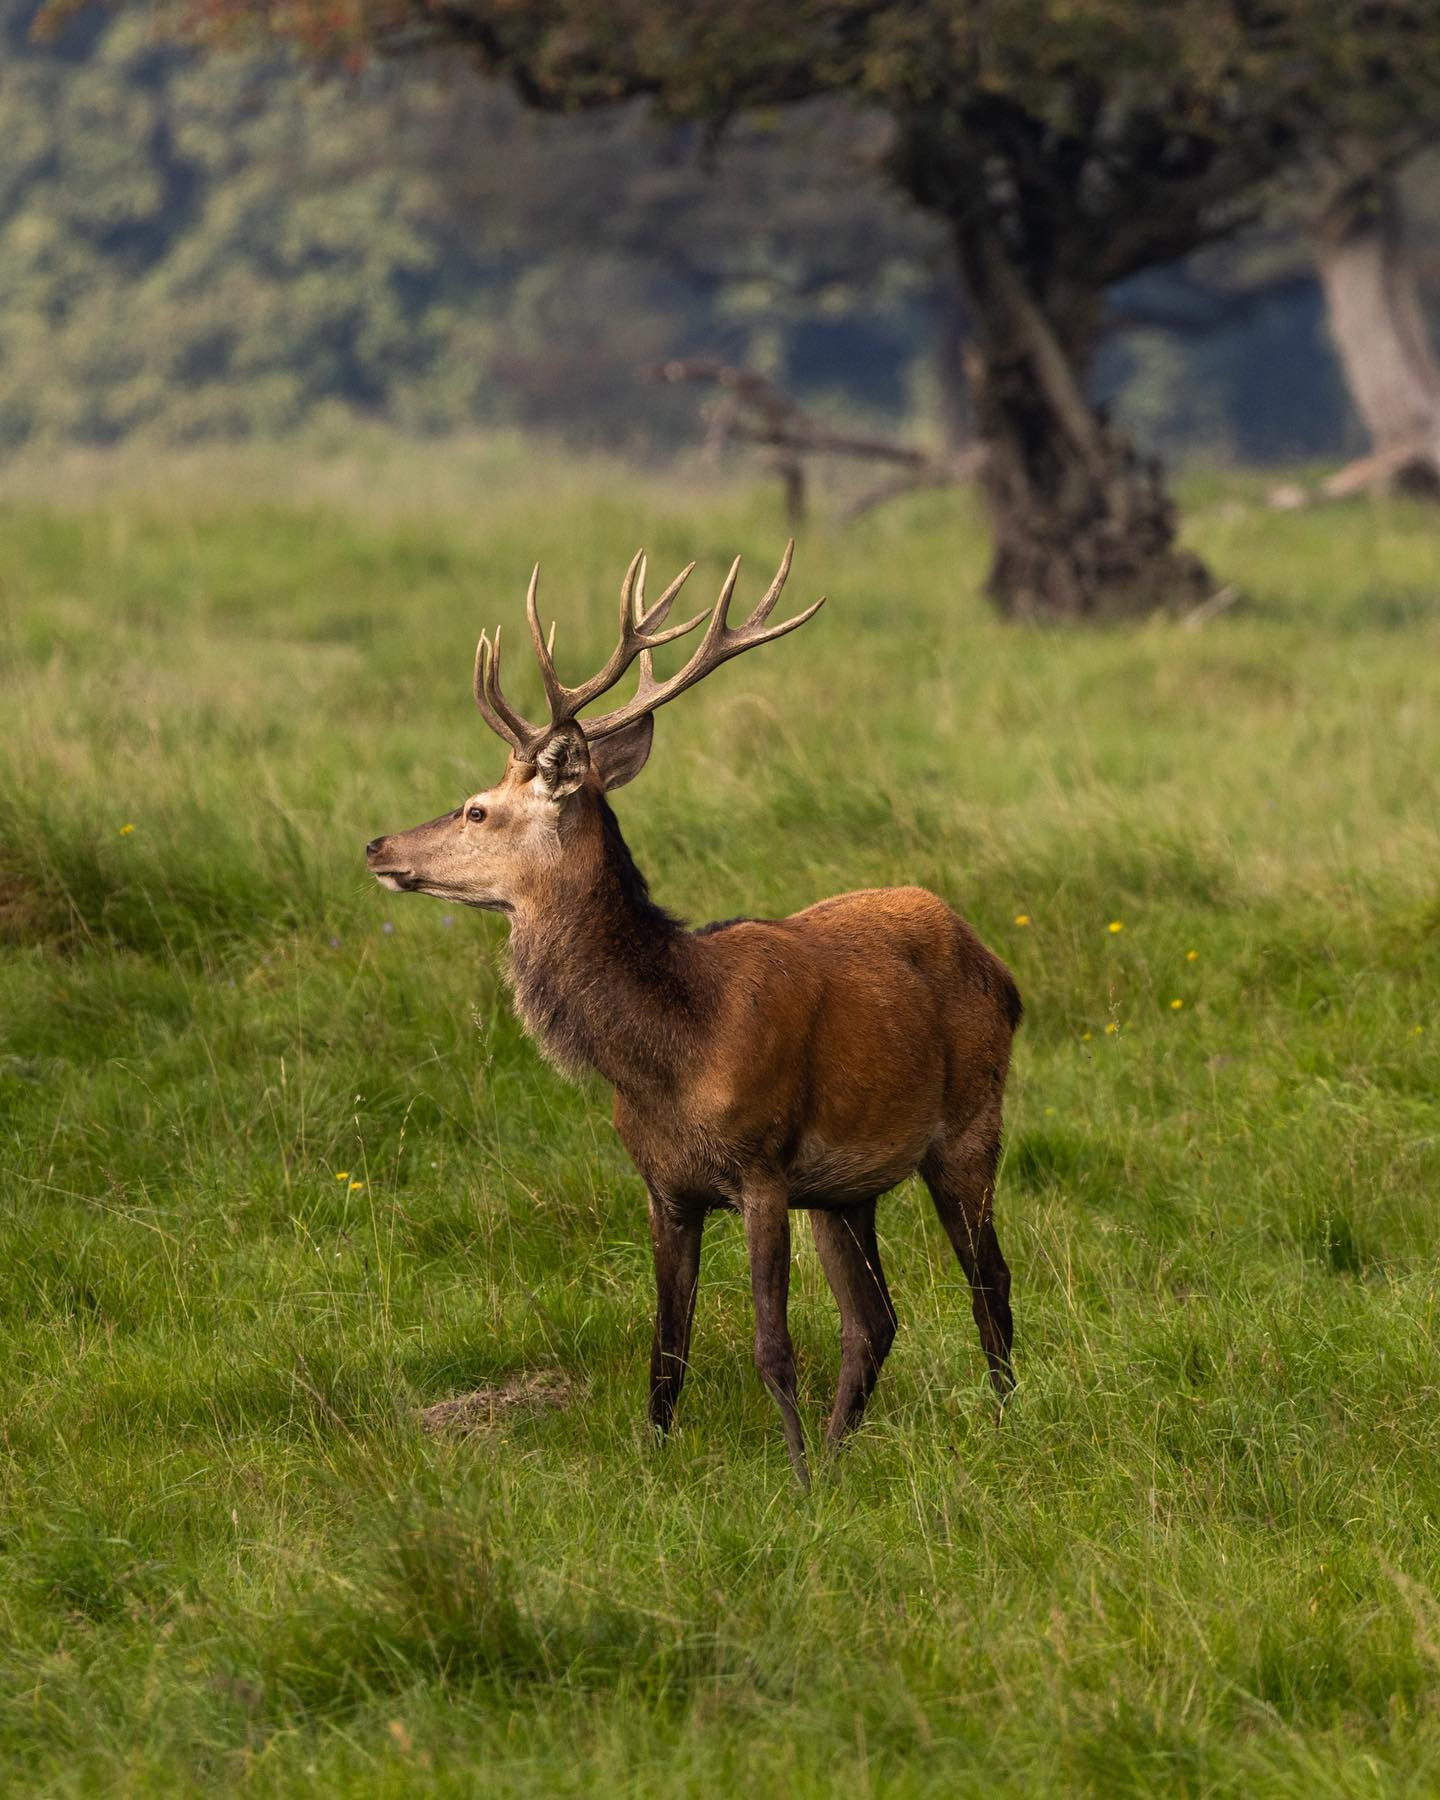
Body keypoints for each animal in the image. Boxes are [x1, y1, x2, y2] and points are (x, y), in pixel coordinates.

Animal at [366, 543, 1021, 1488]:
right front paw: (657, 1464)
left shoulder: (762, 1168)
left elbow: (771, 1346)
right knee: (876, 1320)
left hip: (970, 1124)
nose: (376, 845)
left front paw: (794, 1483)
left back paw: (1001, 1426)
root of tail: (999, 967)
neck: (670, 1054)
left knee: (990, 1286)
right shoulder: (664, 1188)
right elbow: (665, 1352)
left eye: (476, 808)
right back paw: (841, 1451)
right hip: (845, 1189)